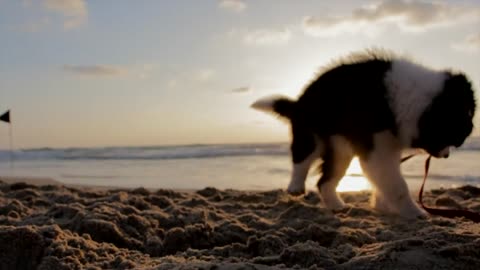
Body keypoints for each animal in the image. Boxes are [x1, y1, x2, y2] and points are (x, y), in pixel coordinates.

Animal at [251, 50, 476, 219]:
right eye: (455, 137)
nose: (447, 155)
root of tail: (299, 103)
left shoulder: (388, 145)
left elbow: (386, 181)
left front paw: (382, 205)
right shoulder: (378, 147)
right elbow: (397, 185)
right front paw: (415, 213)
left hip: (340, 149)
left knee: (324, 181)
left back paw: (336, 205)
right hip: (312, 134)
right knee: (302, 158)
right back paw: (296, 186)